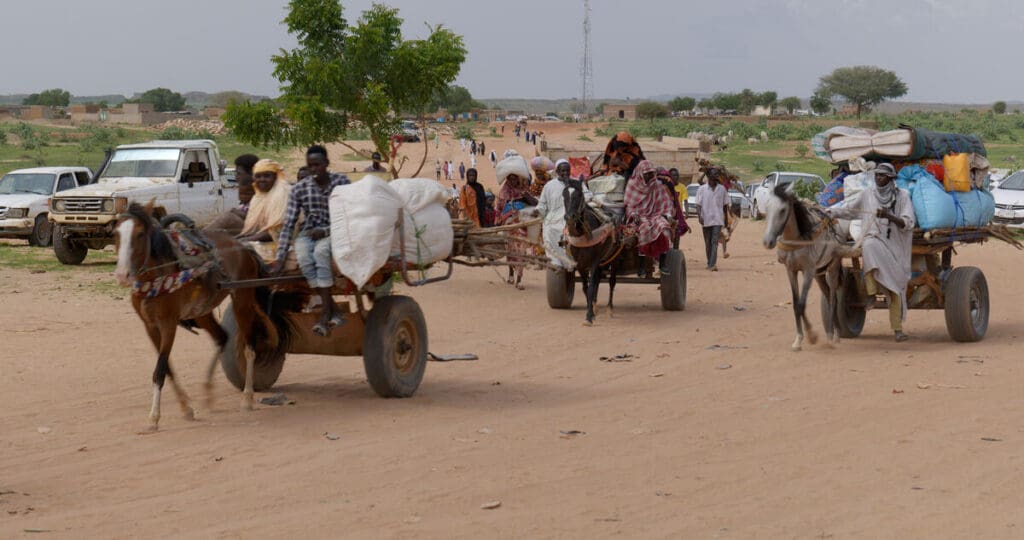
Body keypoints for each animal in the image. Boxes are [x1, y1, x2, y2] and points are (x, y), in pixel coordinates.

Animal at [114, 202, 276, 430]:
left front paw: (154, 417)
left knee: (249, 348)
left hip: (242, 299)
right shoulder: (150, 326)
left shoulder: (168, 324)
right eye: (115, 233)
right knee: (222, 338)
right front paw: (185, 408)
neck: (160, 275)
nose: (122, 275)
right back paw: (208, 393)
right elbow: (168, 368)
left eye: (140, 234)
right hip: (202, 311)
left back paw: (247, 397)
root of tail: (243, 246)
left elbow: (160, 370)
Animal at [561, 181, 622, 325]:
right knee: (598, 280)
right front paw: (592, 312)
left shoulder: (594, 261)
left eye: (579, 195)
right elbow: (586, 287)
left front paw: (588, 317)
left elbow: (591, 287)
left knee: (612, 281)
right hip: (601, 261)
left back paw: (609, 309)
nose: (569, 218)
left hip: (614, 258)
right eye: (564, 195)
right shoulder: (579, 264)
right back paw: (595, 305)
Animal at [765, 186, 851, 352]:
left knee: (833, 299)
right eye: (766, 209)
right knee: (828, 297)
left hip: (832, 268)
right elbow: (795, 303)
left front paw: (812, 336)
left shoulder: (808, 271)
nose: (767, 241)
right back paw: (834, 332)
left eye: (782, 210)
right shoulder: (791, 270)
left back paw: (832, 335)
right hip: (819, 273)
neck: (796, 239)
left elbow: (801, 304)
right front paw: (799, 339)